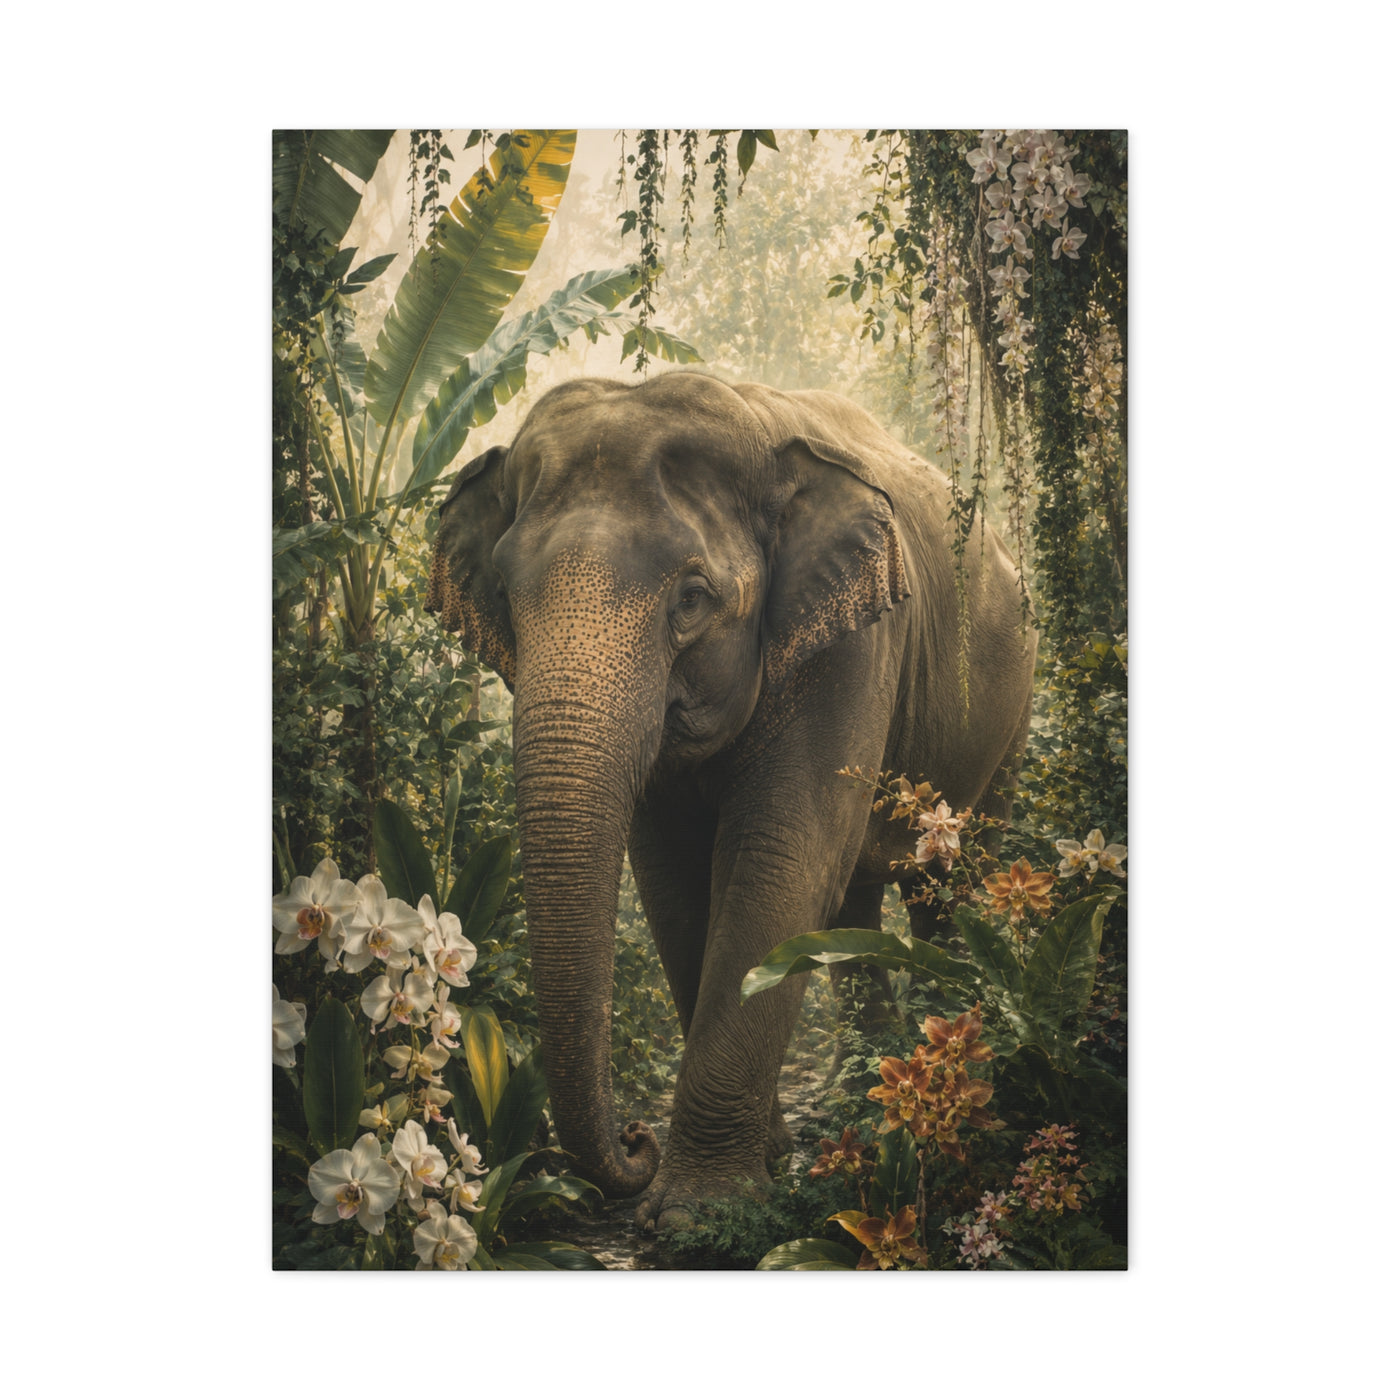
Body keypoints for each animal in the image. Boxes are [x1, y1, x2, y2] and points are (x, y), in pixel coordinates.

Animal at [425, 371, 1036, 1231]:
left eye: (691, 598)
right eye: (507, 597)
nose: (636, 1143)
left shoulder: (853, 642)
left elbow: (780, 855)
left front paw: (700, 1212)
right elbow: (672, 878)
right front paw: (765, 1161)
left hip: (1012, 707)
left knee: (945, 883)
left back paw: (937, 1064)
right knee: (854, 898)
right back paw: (867, 1089)